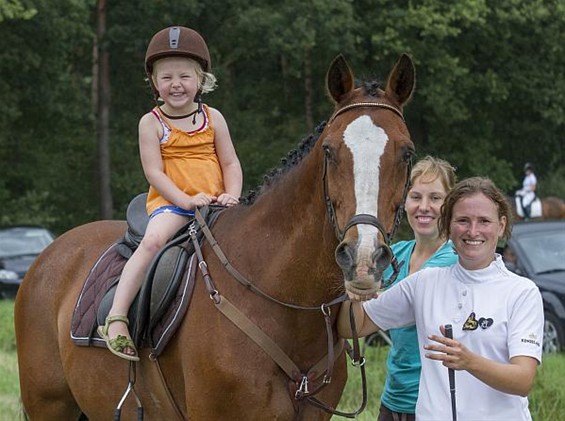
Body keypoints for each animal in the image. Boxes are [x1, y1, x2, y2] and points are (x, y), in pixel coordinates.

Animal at [16, 54, 414, 418]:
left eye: (407, 153)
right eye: (329, 151)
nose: (363, 257)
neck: (277, 296)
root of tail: (49, 255)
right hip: (49, 405)